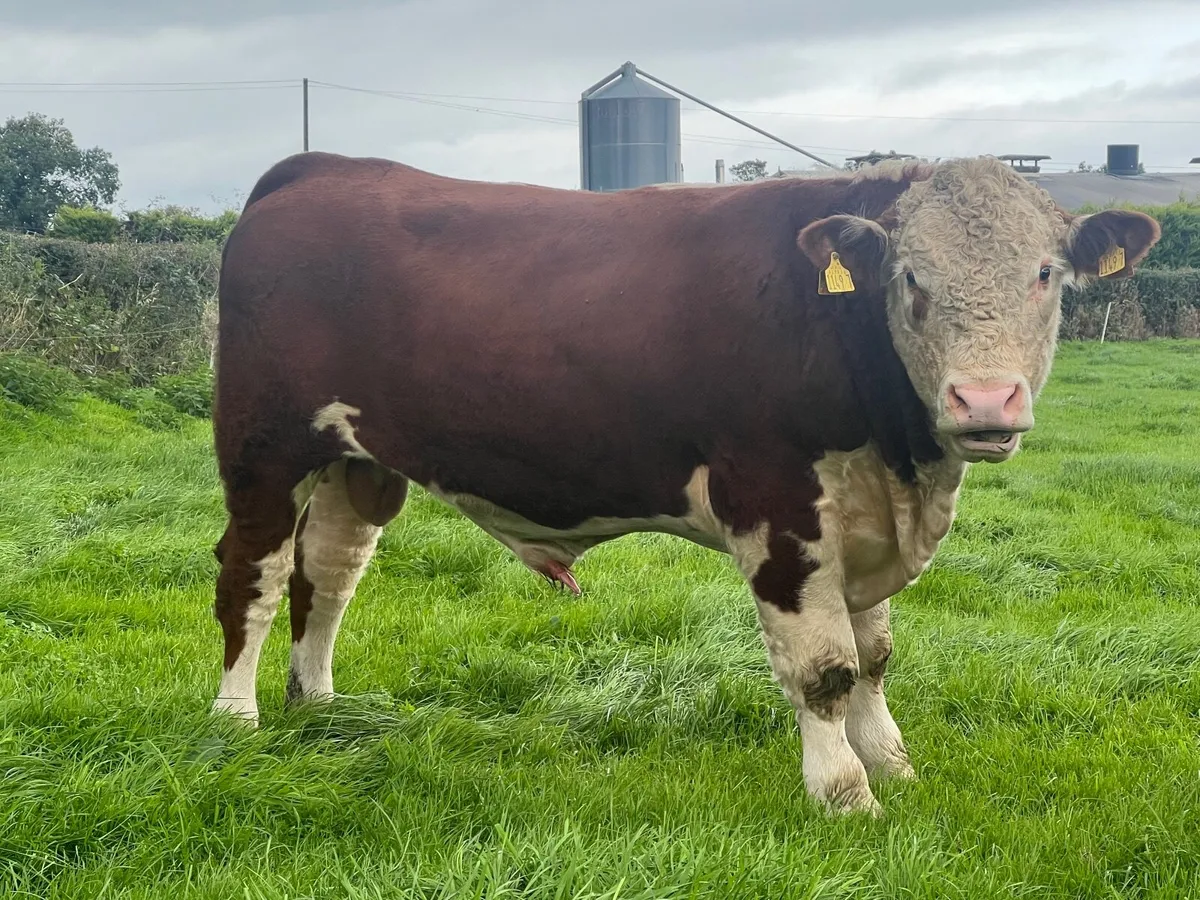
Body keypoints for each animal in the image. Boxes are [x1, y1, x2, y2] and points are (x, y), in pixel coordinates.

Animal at [209, 151, 1159, 814]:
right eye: (910, 278)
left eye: (1046, 273)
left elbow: (876, 658)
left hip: (357, 461)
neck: (905, 469)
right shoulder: (778, 510)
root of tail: (322, 167)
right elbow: (825, 669)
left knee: (328, 574)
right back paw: (236, 720)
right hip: (264, 450)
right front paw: (848, 796)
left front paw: (895, 766)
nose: (985, 400)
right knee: (253, 575)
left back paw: (319, 708)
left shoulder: (862, 517)